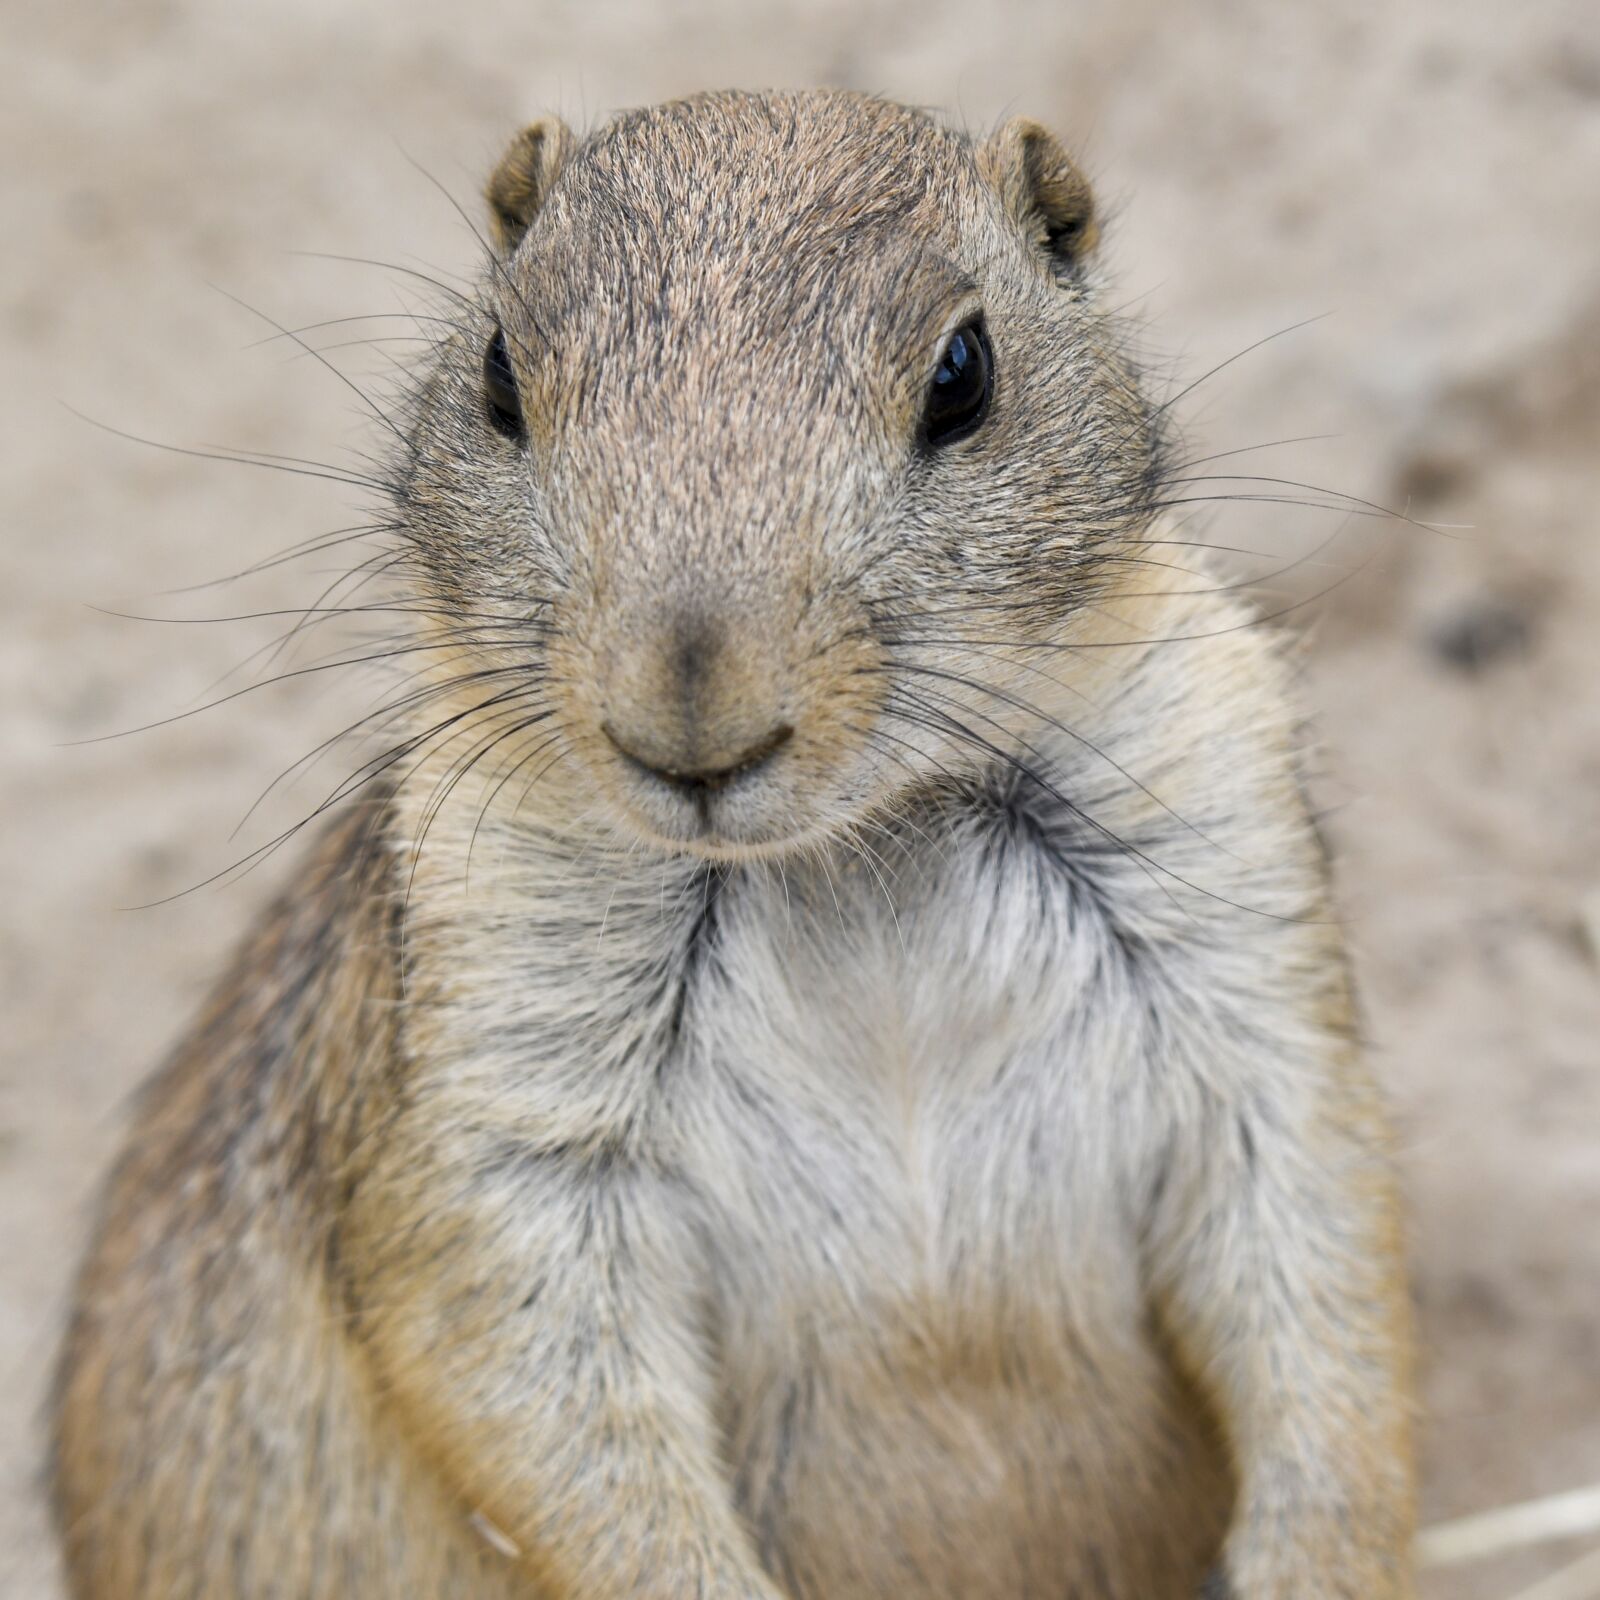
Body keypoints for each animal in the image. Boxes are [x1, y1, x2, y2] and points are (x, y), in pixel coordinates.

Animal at [51, 90, 1416, 1599]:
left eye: (964, 373)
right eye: (498, 376)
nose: (688, 707)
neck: (856, 855)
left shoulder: (1234, 899)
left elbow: (1321, 1259)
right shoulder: (498, 1068)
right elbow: (522, 1352)